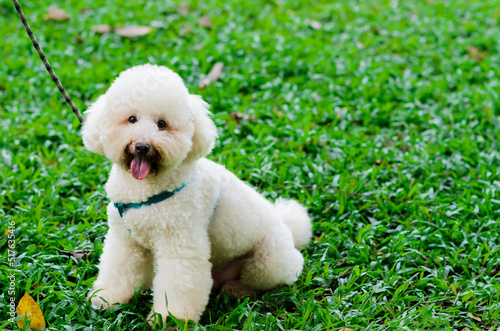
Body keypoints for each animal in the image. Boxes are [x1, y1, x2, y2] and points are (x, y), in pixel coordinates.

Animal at [84, 64, 312, 324]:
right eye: (131, 119)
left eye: (162, 124)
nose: (142, 146)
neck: (144, 190)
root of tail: (288, 228)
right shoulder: (125, 241)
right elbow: (118, 270)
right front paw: (106, 300)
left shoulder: (181, 244)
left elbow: (177, 283)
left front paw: (170, 319)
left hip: (269, 259)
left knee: (262, 280)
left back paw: (237, 289)